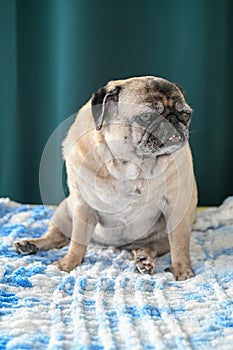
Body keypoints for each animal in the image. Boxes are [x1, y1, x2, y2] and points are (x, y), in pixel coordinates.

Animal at [14, 75, 197, 280]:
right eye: (146, 117)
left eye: (185, 114)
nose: (173, 119)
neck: (133, 166)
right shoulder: (83, 206)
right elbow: (77, 242)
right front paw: (68, 264)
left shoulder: (177, 207)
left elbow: (179, 244)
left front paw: (181, 270)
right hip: (64, 210)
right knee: (58, 237)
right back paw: (31, 244)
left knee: (150, 246)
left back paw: (143, 259)